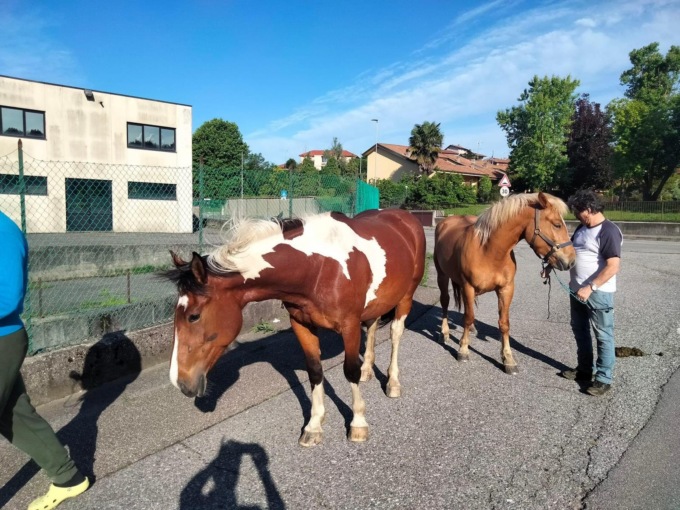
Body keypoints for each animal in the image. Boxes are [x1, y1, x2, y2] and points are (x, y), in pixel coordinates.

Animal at [166, 209, 426, 446]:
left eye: (194, 316)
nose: (181, 382)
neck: (318, 268)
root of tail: (406, 217)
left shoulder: (349, 325)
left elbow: (349, 370)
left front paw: (358, 423)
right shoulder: (301, 324)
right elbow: (315, 372)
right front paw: (314, 426)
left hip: (405, 297)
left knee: (395, 334)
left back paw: (392, 383)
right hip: (377, 301)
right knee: (371, 327)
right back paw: (367, 371)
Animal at [433, 192, 576, 374]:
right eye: (557, 224)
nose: (571, 261)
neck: (489, 251)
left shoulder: (506, 289)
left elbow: (504, 323)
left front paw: (508, 359)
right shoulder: (468, 287)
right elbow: (468, 317)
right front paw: (463, 350)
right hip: (442, 276)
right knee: (445, 302)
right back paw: (444, 333)